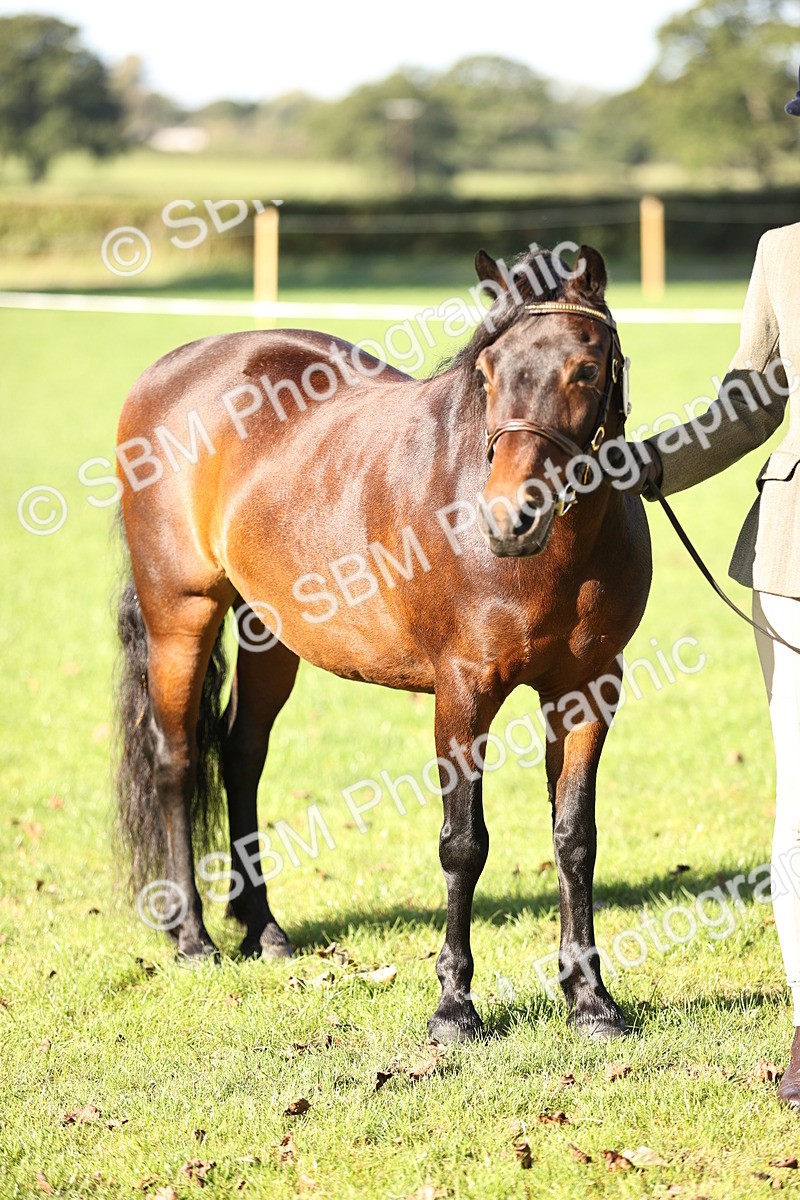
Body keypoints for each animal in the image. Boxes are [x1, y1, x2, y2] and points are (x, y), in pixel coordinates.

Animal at [115, 242, 651, 1043]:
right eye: (487, 371)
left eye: (586, 370)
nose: (509, 520)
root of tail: (171, 368)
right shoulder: (463, 692)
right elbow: (464, 844)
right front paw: (454, 1006)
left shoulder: (587, 691)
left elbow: (574, 837)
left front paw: (590, 1000)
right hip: (181, 614)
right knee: (178, 758)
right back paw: (193, 936)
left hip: (268, 630)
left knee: (240, 755)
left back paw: (263, 930)